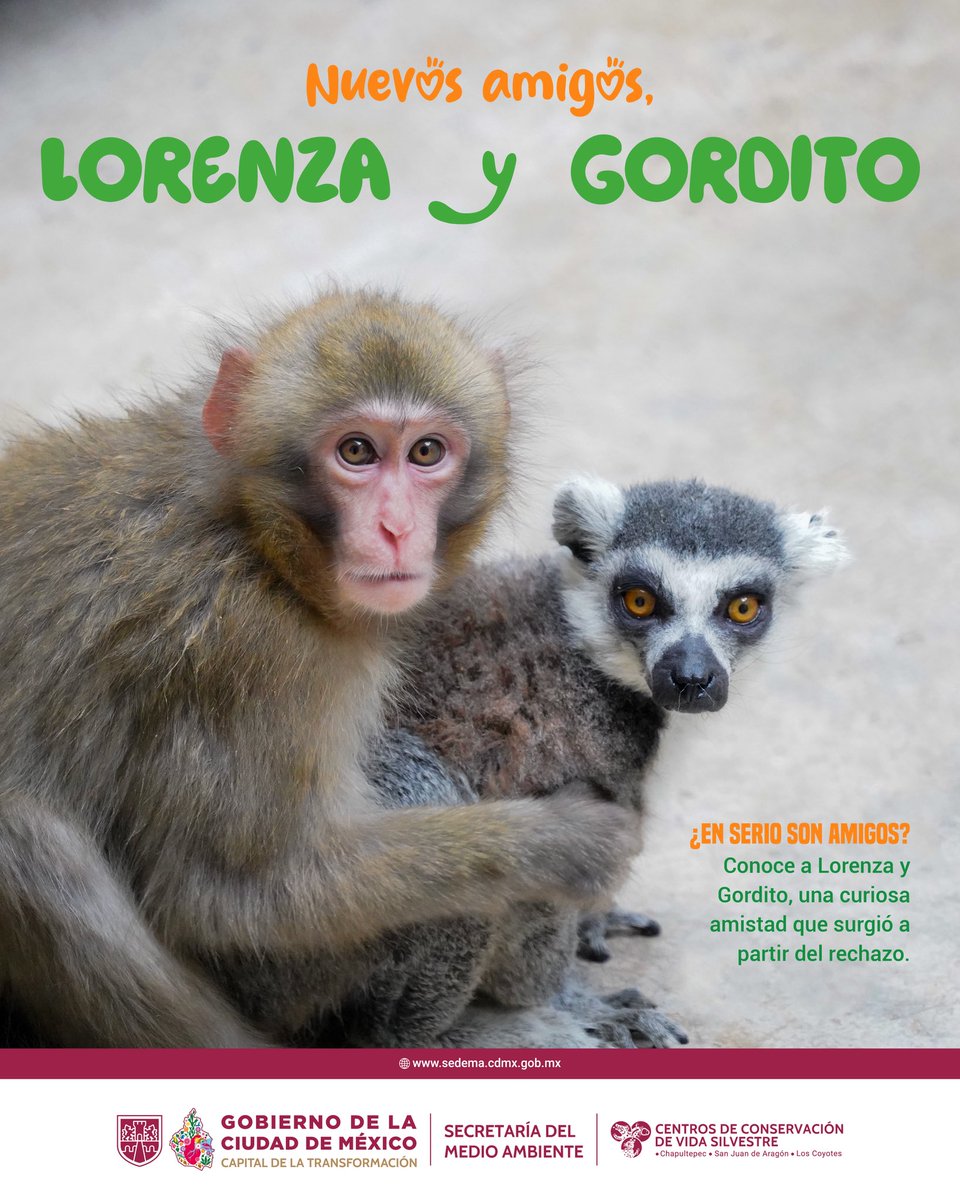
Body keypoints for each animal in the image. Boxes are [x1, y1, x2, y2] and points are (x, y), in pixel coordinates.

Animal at [0, 288, 640, 1048]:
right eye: (356, 451)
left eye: (426, 451)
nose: (395, 528)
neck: (253, 537)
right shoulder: (255, 653)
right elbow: (231, 895)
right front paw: (559, 843)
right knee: (29, 840)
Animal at [329, 477, 847, 1047]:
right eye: (640, 601)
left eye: (743, 607)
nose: (691, 678)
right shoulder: (570, 733)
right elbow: (546, 846)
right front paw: (565, 1000)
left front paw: (596, 920)